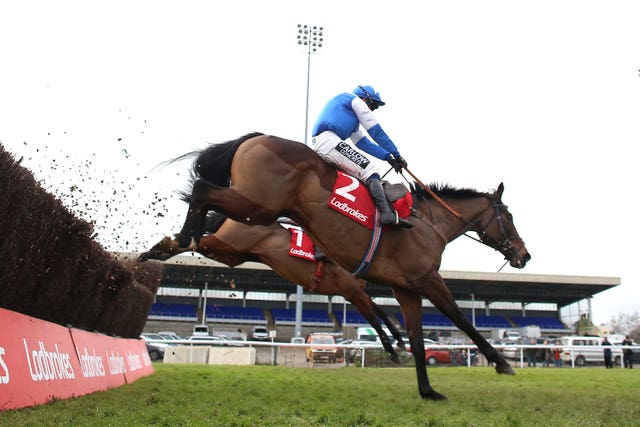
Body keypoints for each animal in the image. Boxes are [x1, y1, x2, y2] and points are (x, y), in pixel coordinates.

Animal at [140, 213, 404, 362]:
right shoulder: (351, 291)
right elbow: (374, 319)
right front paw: (392, 350)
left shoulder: (356, 292)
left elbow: (382, 313)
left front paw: (399, 338)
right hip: (226, 244)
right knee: (191, 241)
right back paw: (155, 249)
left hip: (231, 253)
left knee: (194, 241)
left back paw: (154, 252)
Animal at [174, 132, 528, 400]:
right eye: (509, 216)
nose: (524, 255)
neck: (429, 223)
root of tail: (256, 137)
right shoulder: (425, 279)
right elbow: (461, 320)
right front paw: (501, 362)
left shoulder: (404, 287)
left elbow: (414, 338)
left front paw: (426, 389)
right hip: (257, 205)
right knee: (201, 191)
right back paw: (184, 236)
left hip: (250, 214)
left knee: (204, 202)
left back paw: (180, 240)